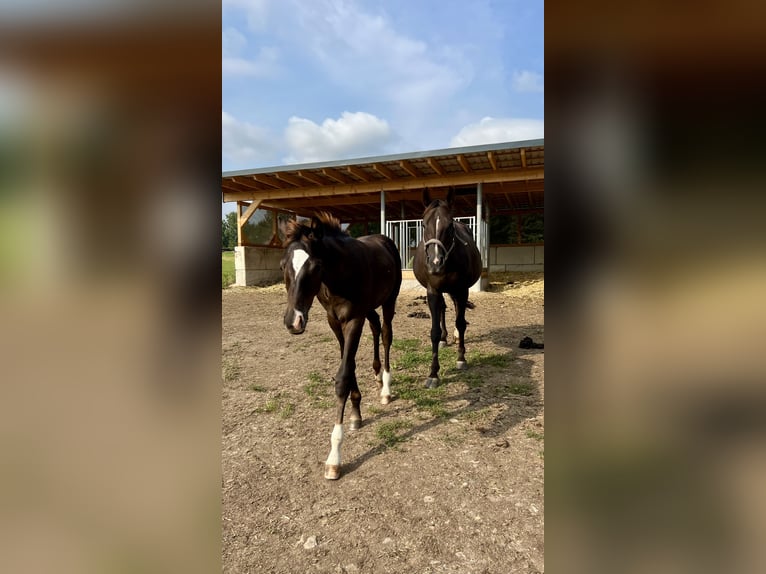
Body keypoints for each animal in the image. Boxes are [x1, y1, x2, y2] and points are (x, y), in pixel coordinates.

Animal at [280, 212, 402, 480]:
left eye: (315, 267)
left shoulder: (353, 320)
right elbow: (350, 364)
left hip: (389, 300)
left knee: (386, 333)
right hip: (369, 308)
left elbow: (343, 377)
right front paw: (356, 413)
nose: (293, 321)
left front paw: (334, 457)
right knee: (375, 326)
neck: (339, 276)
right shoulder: (334, 322)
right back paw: (377, 375)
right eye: (283, 265)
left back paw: (386, 388)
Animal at [412, 188, 482, 388]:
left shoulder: (462, 289)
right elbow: (434, 332)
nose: (436, 264)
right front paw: (433, 374)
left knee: (457, 310)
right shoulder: (433, 291)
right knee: (443, 308)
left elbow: (460, 322)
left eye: (449, 225)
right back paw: (445, 338)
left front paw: (461, 358)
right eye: (423, 224)